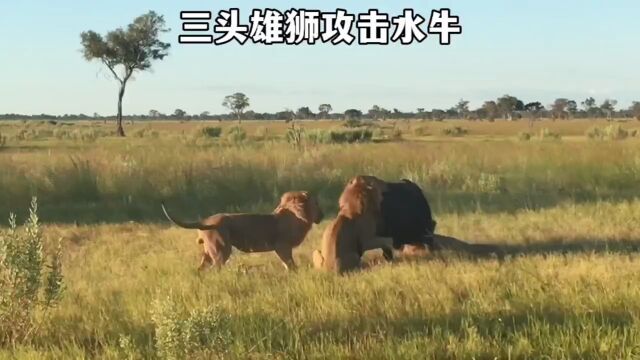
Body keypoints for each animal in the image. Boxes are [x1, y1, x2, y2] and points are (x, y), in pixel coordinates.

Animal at [162, 191, 322, 270]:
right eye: (316, 203)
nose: (322, 214)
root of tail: (204, 221)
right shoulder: (282, 246)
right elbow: (290, 265)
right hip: (220, 250)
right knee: (215, 269)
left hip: (208, 251)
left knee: (200, 270)